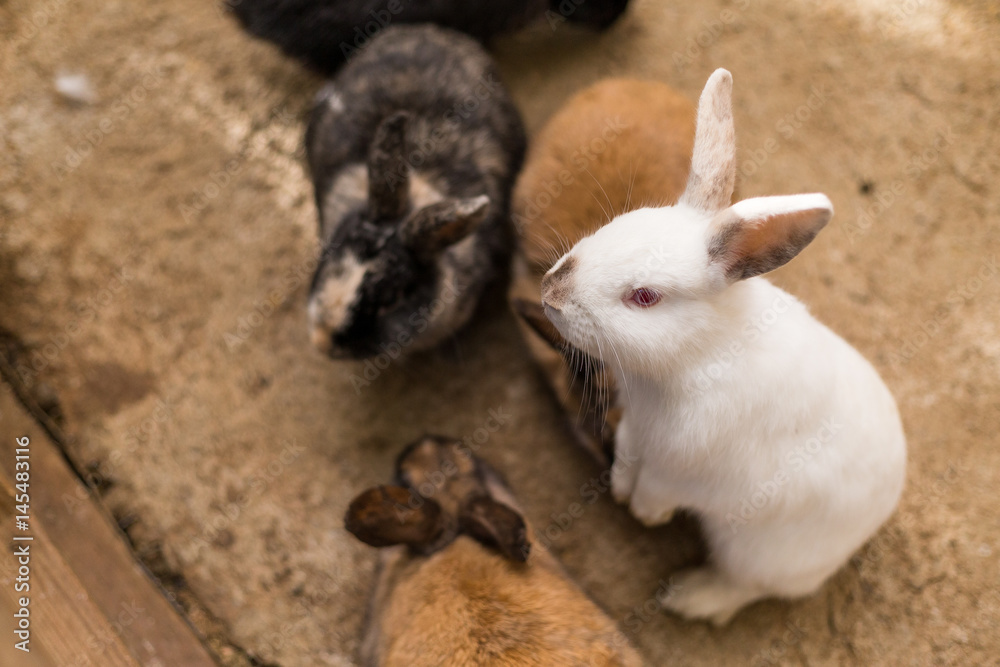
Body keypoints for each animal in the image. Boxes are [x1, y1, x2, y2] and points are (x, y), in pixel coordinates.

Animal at [538, 69, 907, 625]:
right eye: (617, 224)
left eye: (644, 296)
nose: (550, 293)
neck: (693, 357)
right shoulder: (636, 431)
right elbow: (626, 454)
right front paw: (620, 490)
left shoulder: (688, 471)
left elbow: (660, 489)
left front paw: (643, 513)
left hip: (753, 551)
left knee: (749, 588)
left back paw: (688, 596)